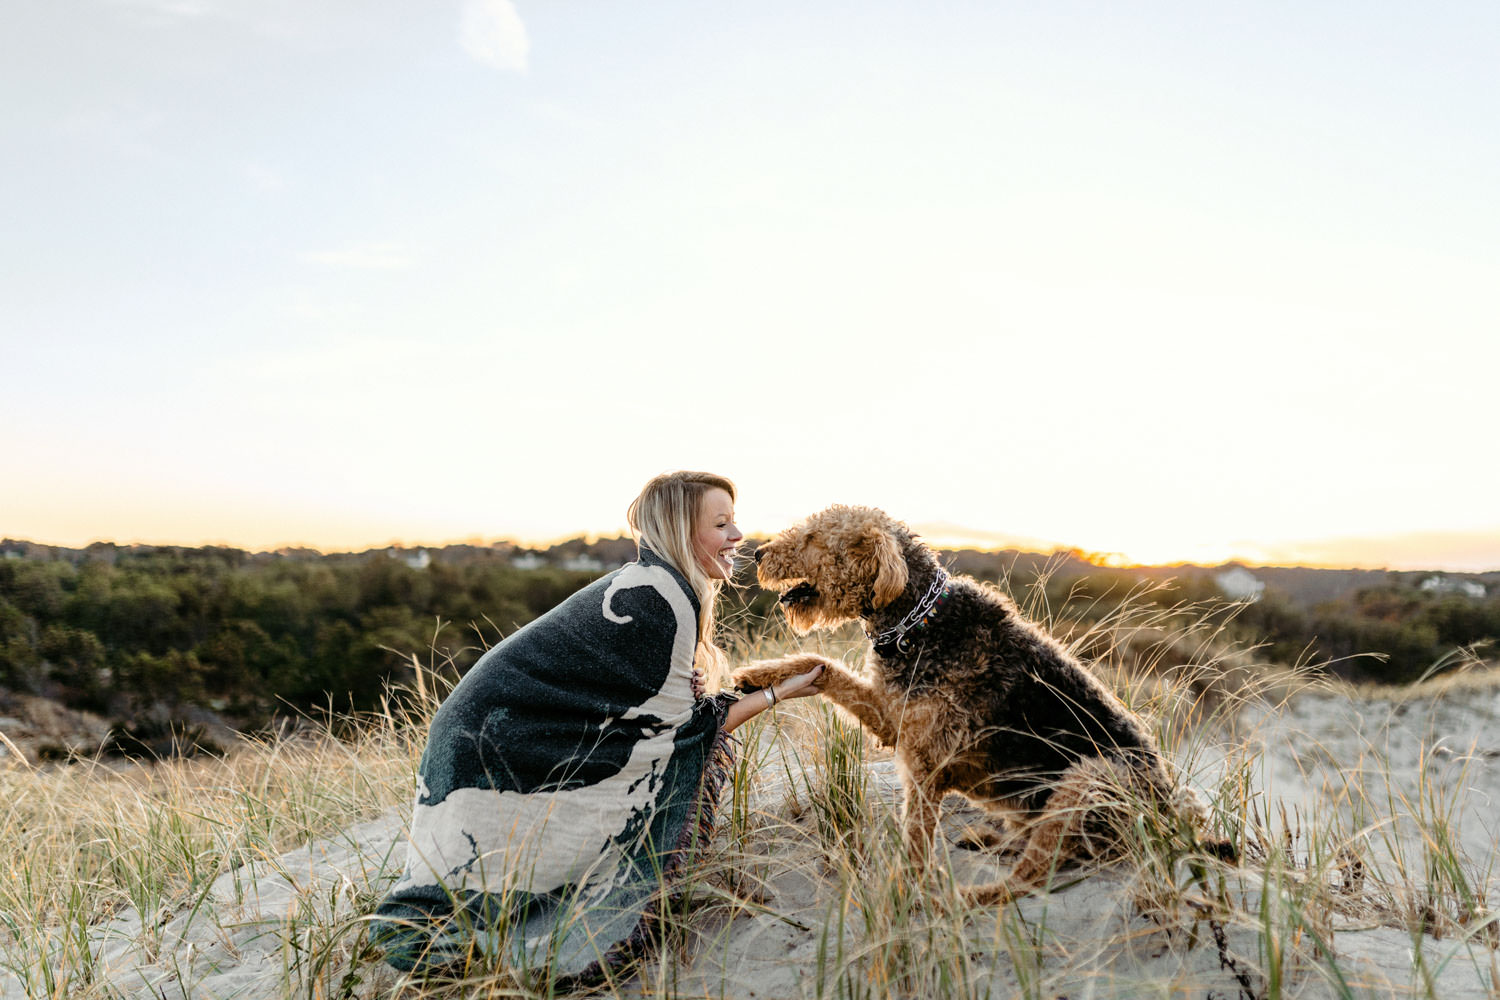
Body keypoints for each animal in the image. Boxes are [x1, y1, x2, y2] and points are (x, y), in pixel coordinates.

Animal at [732, 503, 1236, 905]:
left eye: (814, 538)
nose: (756, 554)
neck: (919, 621)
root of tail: (1174, 823)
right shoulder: (892, 719)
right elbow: (822, 665)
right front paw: (761, 675)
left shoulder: (924, 766)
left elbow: (915, 843)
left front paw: (908, 893)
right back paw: (988, 839)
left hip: (1091, 777)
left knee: (1032, 876)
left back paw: (964, 896)